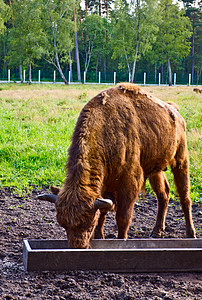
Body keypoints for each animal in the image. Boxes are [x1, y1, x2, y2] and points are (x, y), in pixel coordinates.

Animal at [38, 82, 196, 248]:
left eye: (89, 223)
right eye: (63, 224)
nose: (79, 246)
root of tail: (175, 112)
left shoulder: (130, 184)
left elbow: (122, 217)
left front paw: (120, 240)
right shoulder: (105, 185)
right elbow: (103, 212)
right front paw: (100, 236)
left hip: (181, 159)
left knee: (184, 196)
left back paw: (190, 233)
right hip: (155, 170)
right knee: (163, 193)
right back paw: (156, 231)